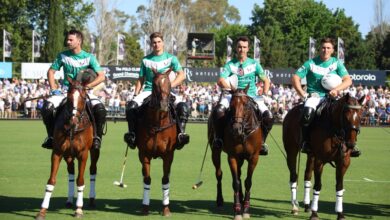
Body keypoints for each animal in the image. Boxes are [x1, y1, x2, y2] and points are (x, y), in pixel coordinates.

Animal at [35, 77, 95, 218]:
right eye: (68, 97)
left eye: (83, 97)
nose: (73, 122)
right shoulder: (57, 152)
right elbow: (51, 181)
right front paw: (42, 210)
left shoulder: (83, 154)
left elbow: (80, 181)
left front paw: (79, 209)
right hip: (68, 155)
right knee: (71, 171)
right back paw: (69, 200)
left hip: (94, 151)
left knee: (92, 169)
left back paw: (91, 200)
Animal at [134, 69, 177, 217]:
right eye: (155, 84)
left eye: (169, 83)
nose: (164, 105)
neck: (158, 123)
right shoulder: (144, 154)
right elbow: (147, 179)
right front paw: (145, 208)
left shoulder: (169, 155)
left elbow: (165, 179)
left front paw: (166, 209)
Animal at [207, 84, 262, 220]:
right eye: (231, 106)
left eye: (246, 104)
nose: (236, 129)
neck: (244, 132)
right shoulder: (232, 156)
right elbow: (235, 182)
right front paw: (237, 211)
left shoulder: (254, 157)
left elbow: (248, 181)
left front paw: (246, 209)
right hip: (215, 151)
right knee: (219, 173)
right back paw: (220, 200)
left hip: (241, 158)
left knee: (240, 174)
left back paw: (241, 199)